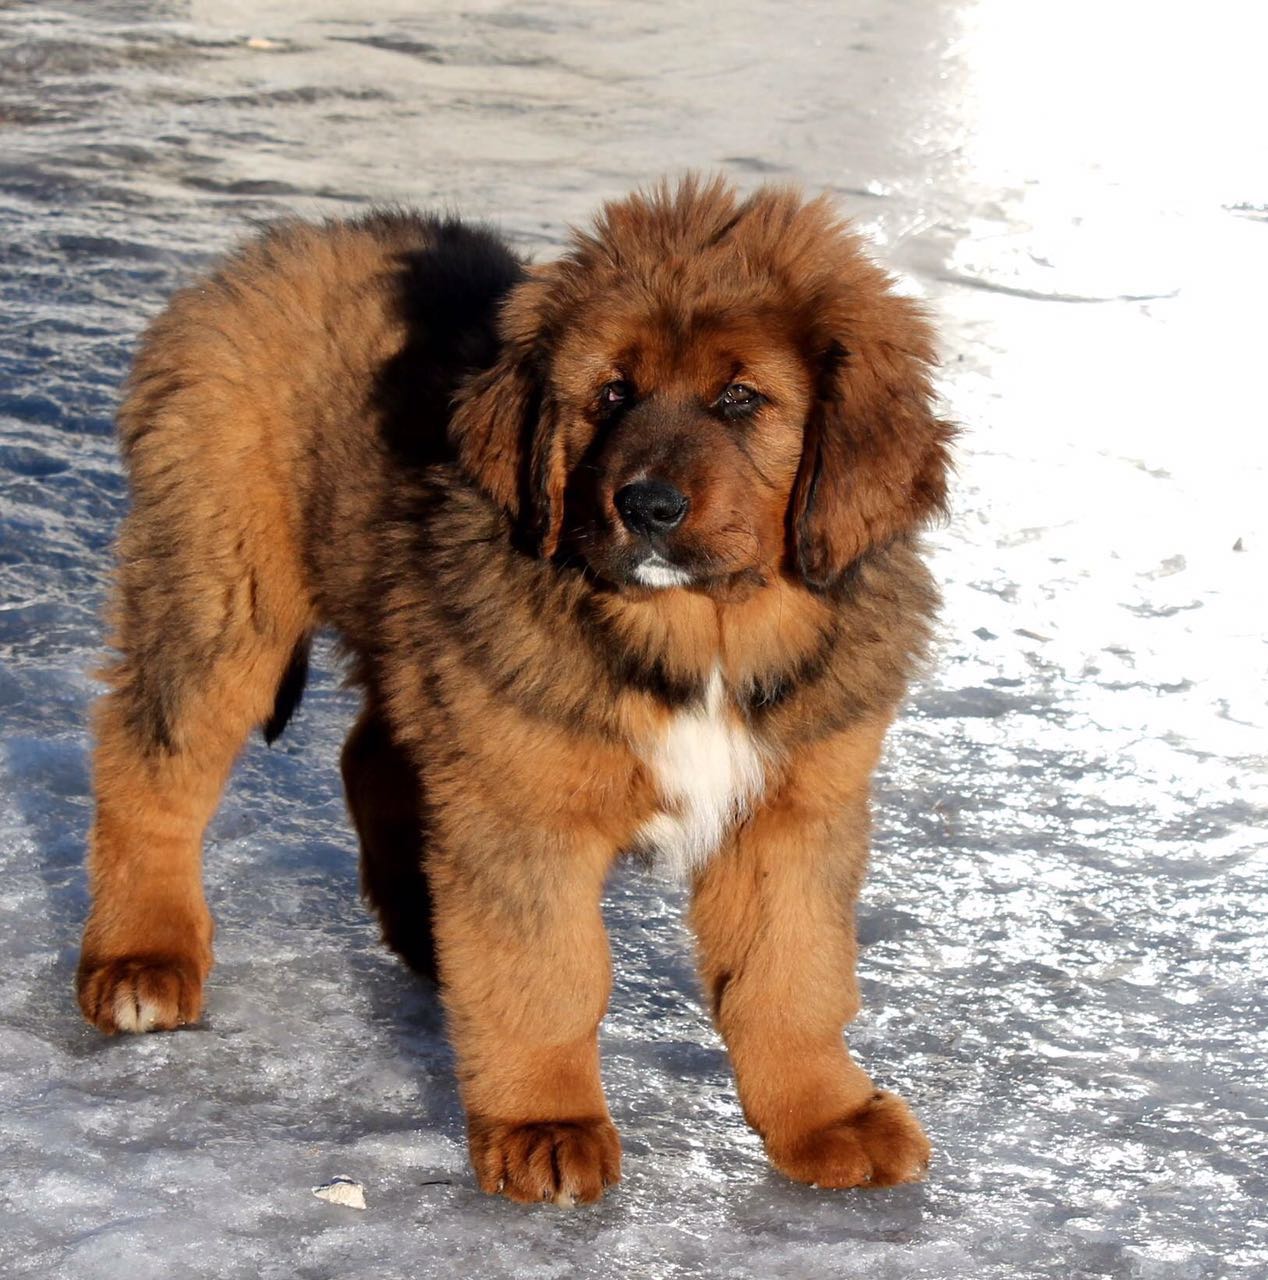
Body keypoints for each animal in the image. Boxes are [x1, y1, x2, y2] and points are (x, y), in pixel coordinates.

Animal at [76, 177, 951, 1198]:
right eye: (611, 393)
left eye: (741, 399)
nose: (646, 505)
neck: (700, 638)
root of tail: (275, 250)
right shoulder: (526, 805)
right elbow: (549, 977)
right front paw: (546, 1124)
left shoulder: (792, 809)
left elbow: (791, 977)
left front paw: (826, 1118)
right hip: (224, 592)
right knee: (150, 763)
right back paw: (140, 958)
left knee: (371, 758)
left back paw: (423, 932)